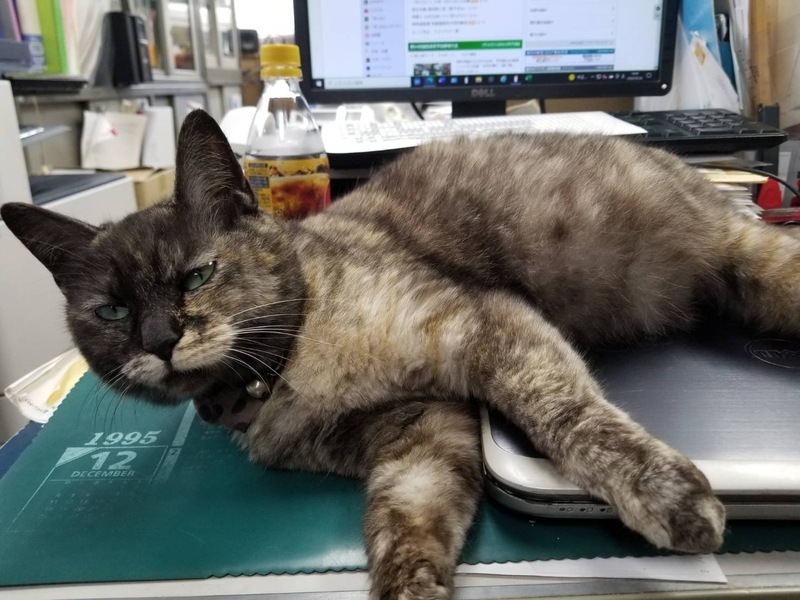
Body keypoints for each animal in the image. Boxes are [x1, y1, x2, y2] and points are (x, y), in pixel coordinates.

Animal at [5, 108, 794, 599]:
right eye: (111, 311)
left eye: (196, 275)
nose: (160, 340)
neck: (285, 371)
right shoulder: (422, 430)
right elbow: (406, 520)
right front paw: (409, 584)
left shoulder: (484, 326)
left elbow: (571, 419)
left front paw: (666, 494)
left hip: (760, 268)